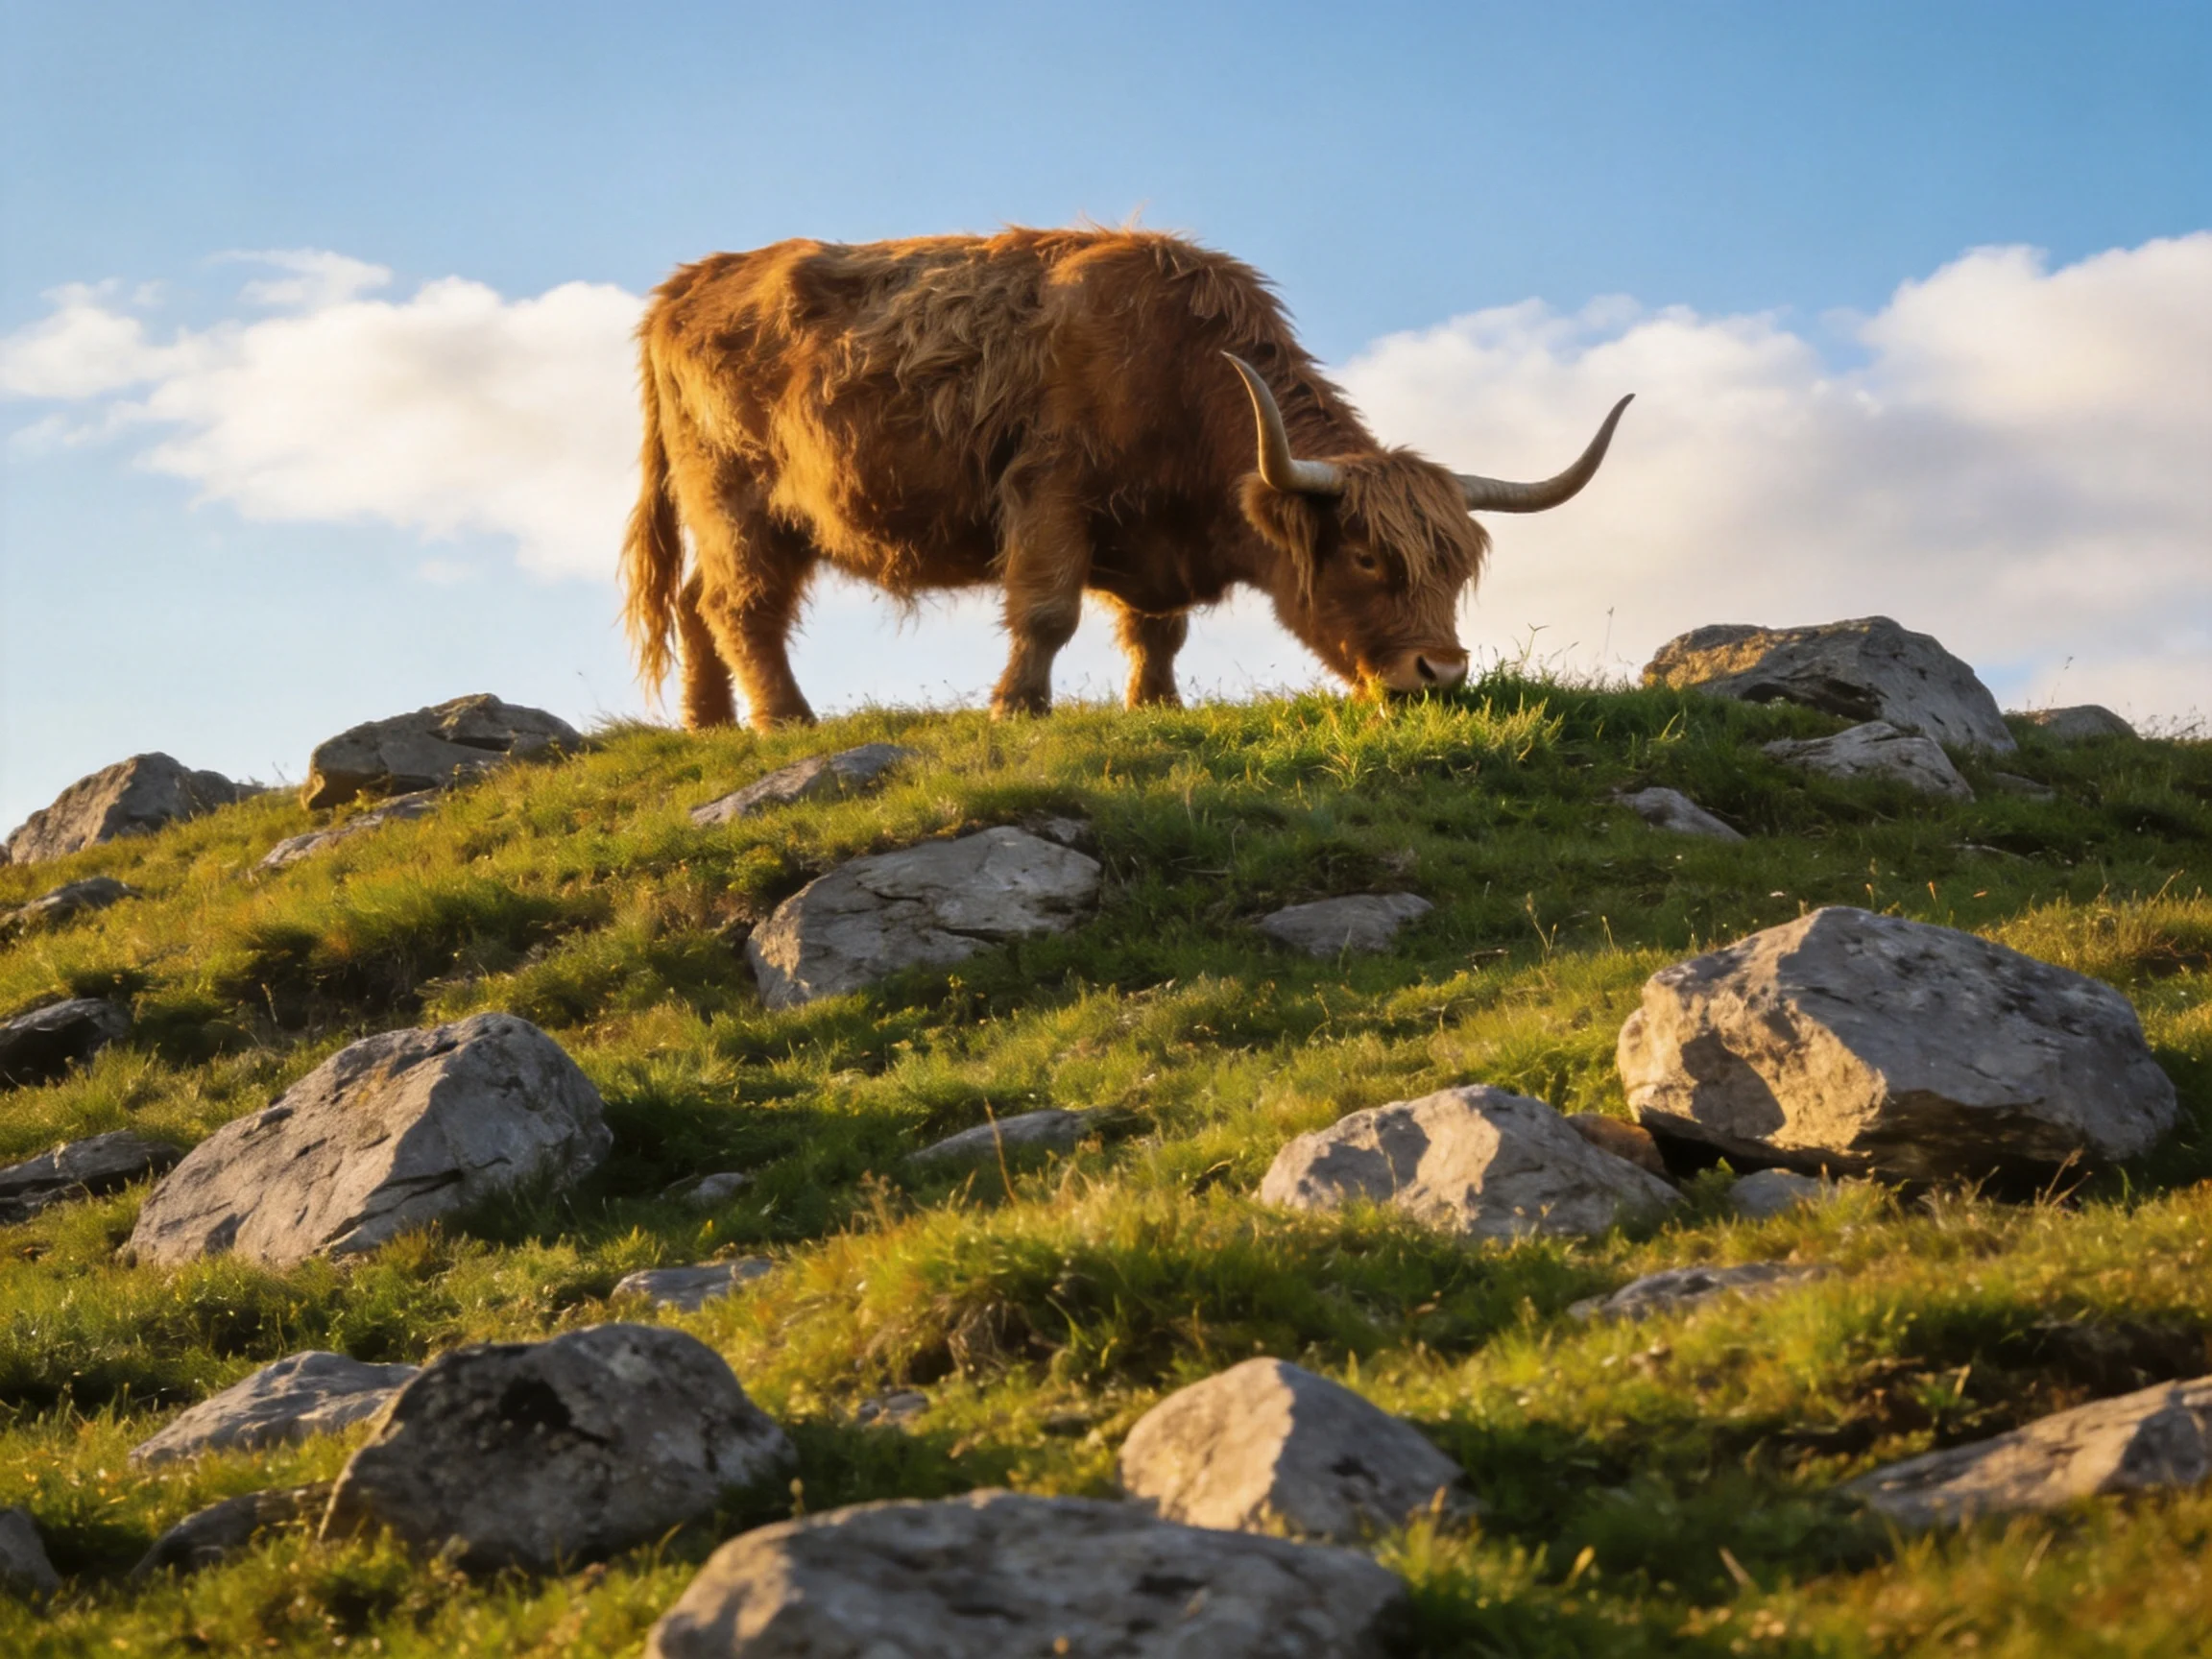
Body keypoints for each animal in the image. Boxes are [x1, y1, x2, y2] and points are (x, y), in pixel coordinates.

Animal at [620, 228, 1629, 728]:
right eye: (1368, 559)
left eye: (1457, 569)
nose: (1442, 672)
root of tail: (685, 285)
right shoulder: (1051, 494)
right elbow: (1048, 612)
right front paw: (1017, 706)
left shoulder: (1148, 537)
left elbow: (1158, 632)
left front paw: (1157, 704)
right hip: (738, 498)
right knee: (741, 606)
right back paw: (785, 719)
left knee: (698, 602)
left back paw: (708, 722)